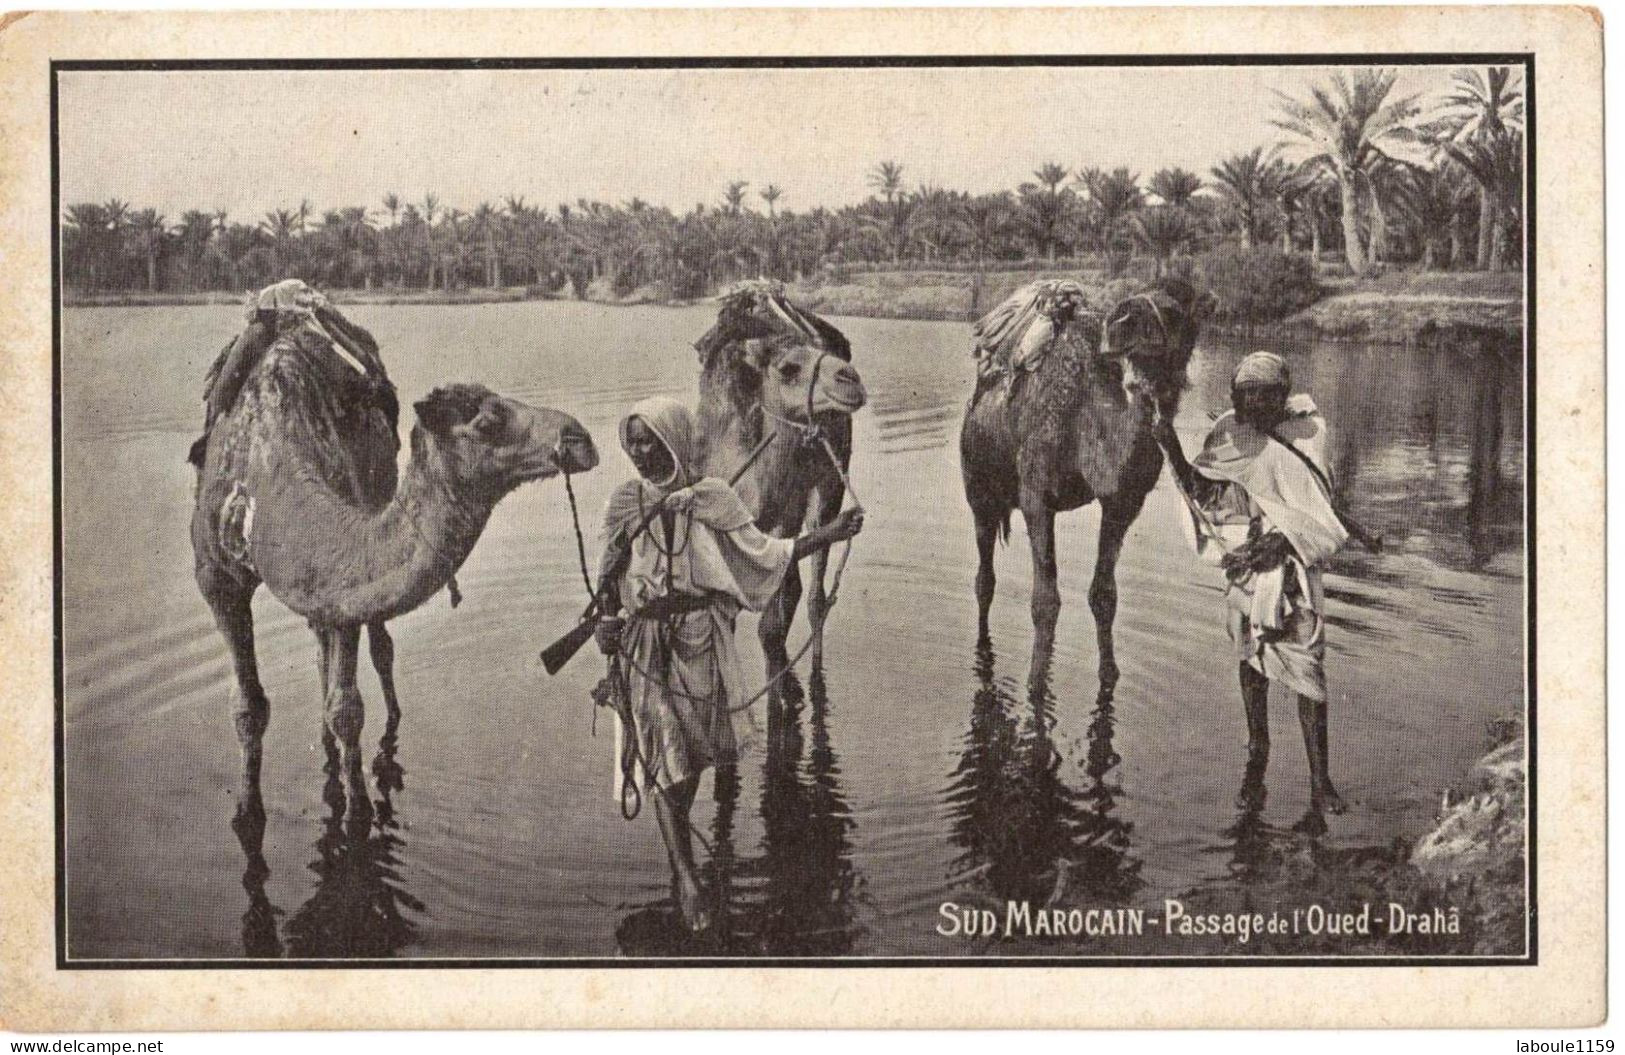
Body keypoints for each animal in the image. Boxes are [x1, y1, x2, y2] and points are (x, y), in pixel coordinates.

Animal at [190, 300, 598, 809]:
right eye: (486, 423)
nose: (579, 438)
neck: (264, 471)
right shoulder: (215, 577)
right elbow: (251, 708)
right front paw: (249, 812)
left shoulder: (340, 576)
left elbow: (346, 709)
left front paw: (358, 808)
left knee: (375, 649)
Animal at [692, 279, 871, 676]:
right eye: (788, 368)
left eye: (822, 349)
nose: (851, 379)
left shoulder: (785, 515)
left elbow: (774, 617)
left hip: (828, 484)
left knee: (814, 595)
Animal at [955, 276, 1215, 682]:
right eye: (1134, 301)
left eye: (1175, 311)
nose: (1123, 320)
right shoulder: (1036, 495)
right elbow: (1045, 602)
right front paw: (1037, 686)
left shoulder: (1124, 504)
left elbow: (1104, 596)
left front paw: (1110, 675)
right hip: (978, 486)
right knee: (985, 579)